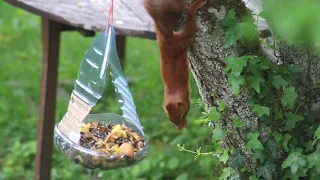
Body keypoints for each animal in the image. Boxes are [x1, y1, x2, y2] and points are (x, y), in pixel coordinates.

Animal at [142, 0, 205, 129]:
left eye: (182, 115)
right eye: (170, 121)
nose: (181, 128)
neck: (172, 93)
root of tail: (167, 41)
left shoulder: (186, 98)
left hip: (182, 40)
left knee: (190, 27)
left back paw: (193, 7)